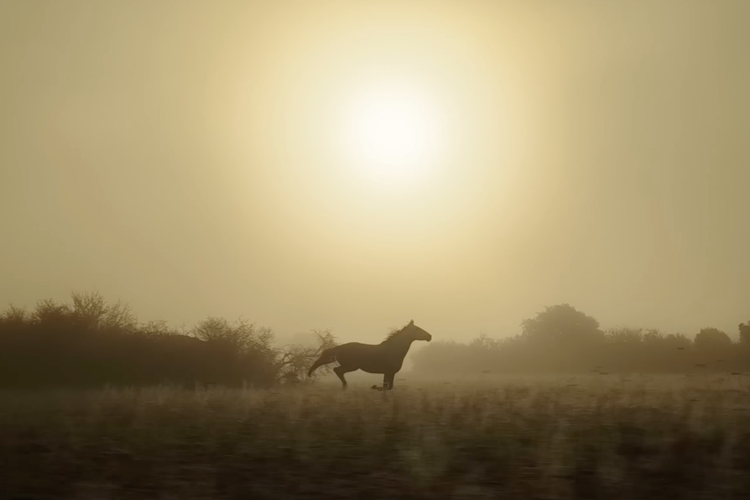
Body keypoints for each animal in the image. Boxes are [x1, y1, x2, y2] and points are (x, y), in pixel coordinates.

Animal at [306, 320, 434, 390]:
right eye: (418, 329)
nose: (429, 336)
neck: (394, 350)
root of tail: (338, 348)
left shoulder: (389, 372)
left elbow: (389, 387)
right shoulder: (389, 371)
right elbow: (387, 387)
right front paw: (374, 387)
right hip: (351, 366)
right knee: (337, 370)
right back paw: (345, 386)